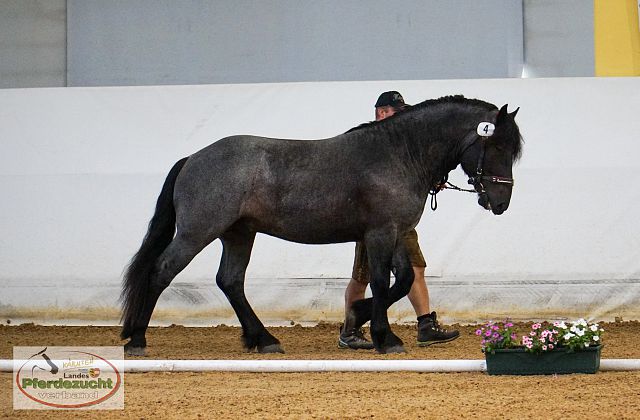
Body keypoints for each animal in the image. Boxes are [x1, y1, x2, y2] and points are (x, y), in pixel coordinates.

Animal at [122, 95, 524, 354]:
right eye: (497, 147)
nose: (501, 203)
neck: (399, 153)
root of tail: (192, 158)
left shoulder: (396, 233)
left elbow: (405, 279)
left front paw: (361, 320)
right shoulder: (381, 233)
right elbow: (382, 282)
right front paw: (383, 337)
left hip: (239, 234)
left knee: (230, 281)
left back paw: (264, 339)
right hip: (197, 232)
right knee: (161, 271)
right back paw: (138, 339)